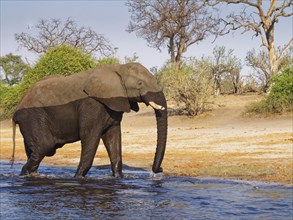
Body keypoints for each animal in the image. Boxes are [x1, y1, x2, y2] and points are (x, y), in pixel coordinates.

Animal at [12, 63, 167, 177]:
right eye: (140, 84)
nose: (158, 170)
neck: (118, 68)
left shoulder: (114, 104)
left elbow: (113, 138)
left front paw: (118, 178)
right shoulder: (92, 105)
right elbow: (90, 136)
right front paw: (78, 178)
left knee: (35, 150)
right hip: (32, 117)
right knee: (46, 145)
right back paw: (24, 175)